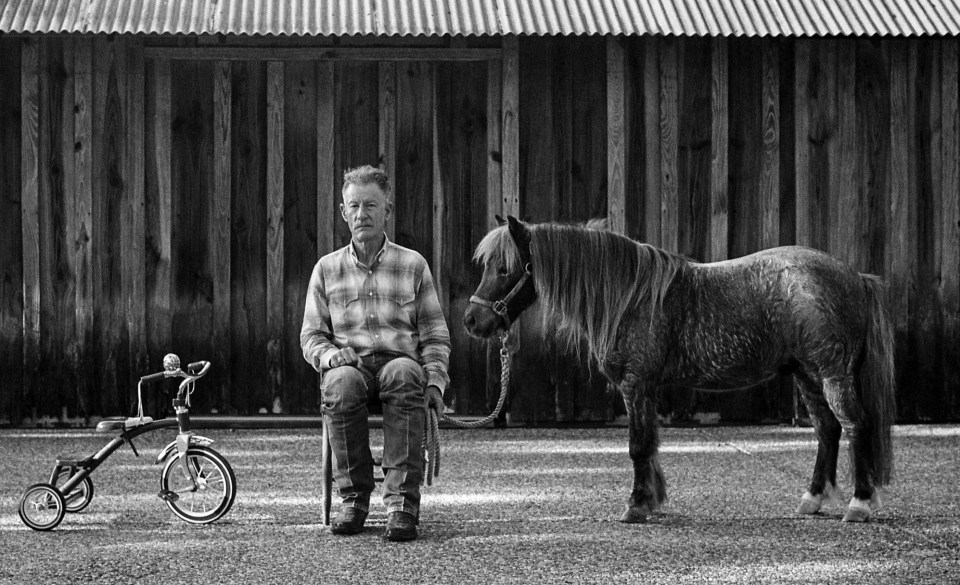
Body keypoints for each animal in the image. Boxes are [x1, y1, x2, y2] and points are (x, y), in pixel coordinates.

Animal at [462, 217, 896, 524]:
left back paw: (859, 505)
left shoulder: (636, 385)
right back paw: (812, 499)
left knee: (855, 425)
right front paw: (652, 501)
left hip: (832, 374)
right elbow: (650, 444)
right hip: (806, 375)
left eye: (504, 268)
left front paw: (636, 507)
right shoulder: (646, 389)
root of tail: (855, 278)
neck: (629, 298)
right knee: (828, 430)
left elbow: (638, 446)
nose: (472, 321)